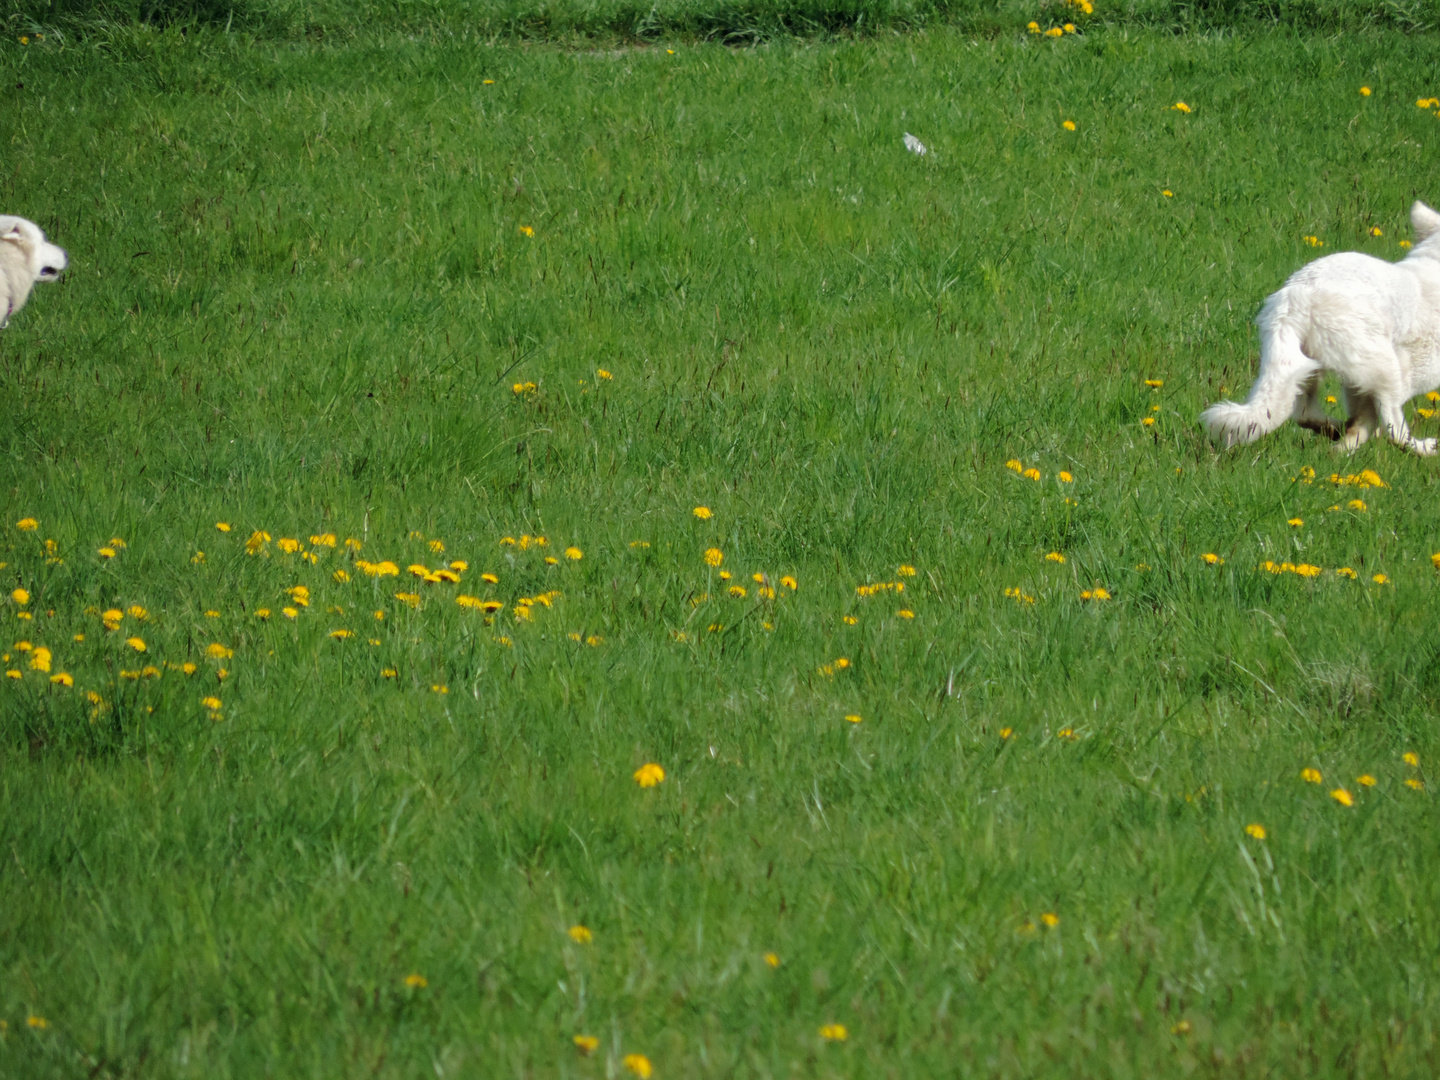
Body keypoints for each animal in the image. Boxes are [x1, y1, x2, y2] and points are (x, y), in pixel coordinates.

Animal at [1198, 201, 1440, 455]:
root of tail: (1296, 297)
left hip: (1308, 364)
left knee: (1303, 412)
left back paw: (1336, 432)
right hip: (1384, 365)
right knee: (1394, 428)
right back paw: (1421, 447)